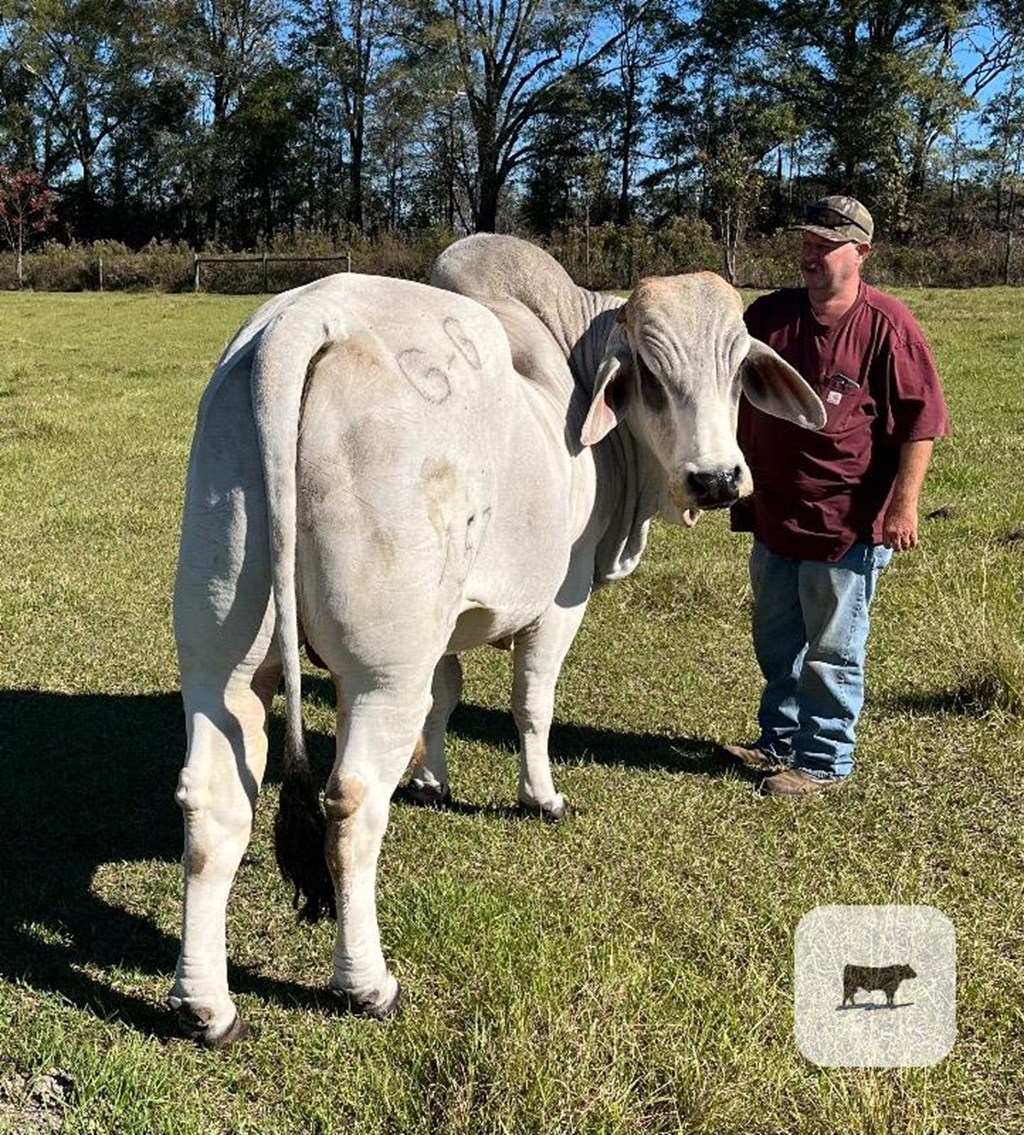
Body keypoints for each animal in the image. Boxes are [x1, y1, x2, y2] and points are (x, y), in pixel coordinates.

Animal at [168, 234, 826, 1039]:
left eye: (736, 372)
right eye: (650, 373)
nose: (718, 479)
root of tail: (304, 319)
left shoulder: (444, 626)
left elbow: (445, 698)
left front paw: (433, 780)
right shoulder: (562, 598)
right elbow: (532, 704)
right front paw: (541, 796)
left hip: (222, 663)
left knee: (213, 805)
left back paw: (207, 1004)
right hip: (382, 672)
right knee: (351, 806)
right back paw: (366, 983)